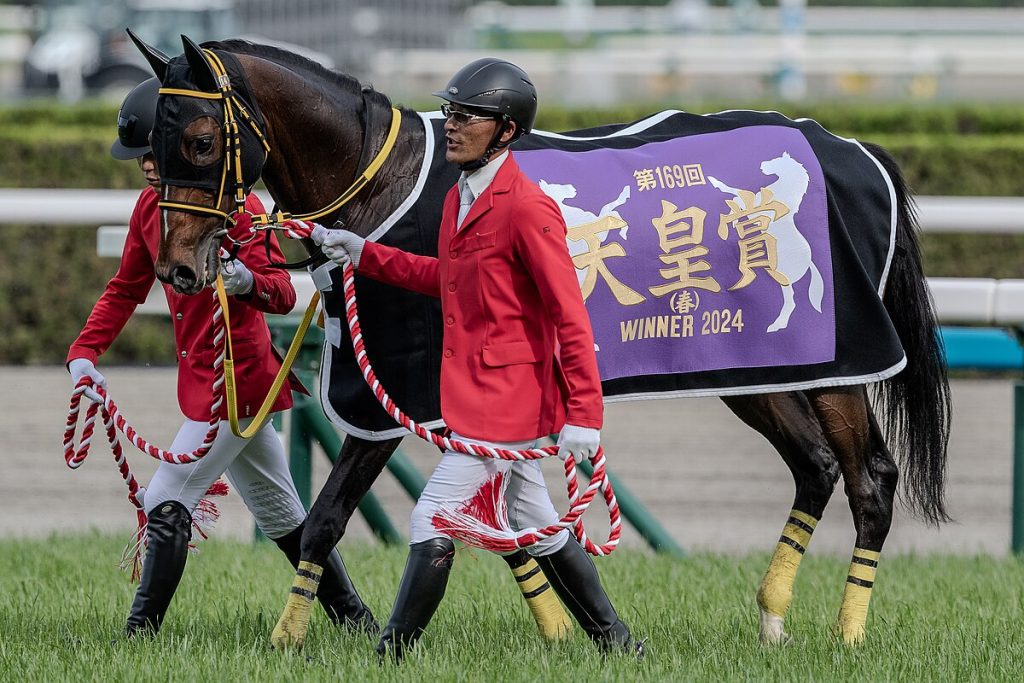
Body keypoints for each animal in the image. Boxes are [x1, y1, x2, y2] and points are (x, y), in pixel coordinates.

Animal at [130, 33, 950, 651]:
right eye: (157, 144)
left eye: (199, 140)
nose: (177, 267)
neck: (383, 185)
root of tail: (851, 148)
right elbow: (510, 522)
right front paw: (568, 626)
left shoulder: (398, 395)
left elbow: (326, 522)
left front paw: (288, 638)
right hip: (750, 369)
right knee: (814, 465)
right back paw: (773, 617)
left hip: (838, 365)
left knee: (870, 476)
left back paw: (848, 630)